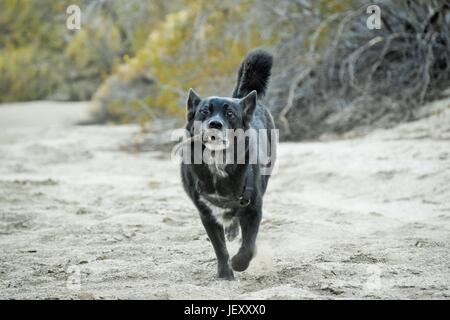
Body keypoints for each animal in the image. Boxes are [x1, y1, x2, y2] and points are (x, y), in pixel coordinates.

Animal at [181, 48, 276, 278]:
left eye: (230, 114)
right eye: (204, 111)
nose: (215, 124)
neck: (218, 164)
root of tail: (242, 98)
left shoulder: (254, 208)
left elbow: (249, 246)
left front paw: (239, 263)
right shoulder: (206, 214)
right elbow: (220, 247)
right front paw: (225, 274)